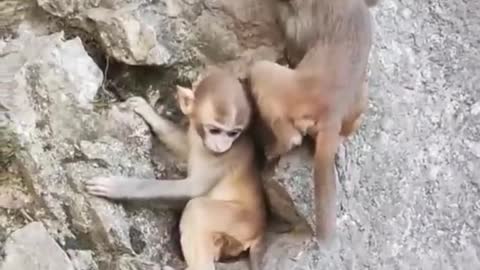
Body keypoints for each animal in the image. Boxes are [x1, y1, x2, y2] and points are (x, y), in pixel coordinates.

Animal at [86, 70, 266, 270]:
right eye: (215, 130)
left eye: (233, 133)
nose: (222, 145)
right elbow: (184, 146)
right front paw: (147, 111)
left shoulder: (228, 156)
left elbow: (191, 189)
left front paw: (117, 187)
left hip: (242, 223)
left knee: (197, 210)